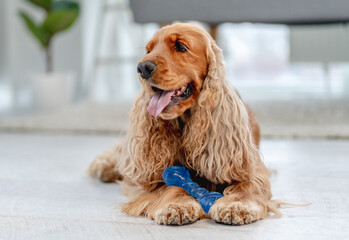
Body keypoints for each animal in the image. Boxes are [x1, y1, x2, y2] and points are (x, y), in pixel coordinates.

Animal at [89, 23, 280, 226]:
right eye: (149, 50)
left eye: (180, 46)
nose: (142, 67)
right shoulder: (157, 172)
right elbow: (170, 186)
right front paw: (178, 206)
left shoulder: (247, 165)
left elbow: (249, 185)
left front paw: (236, 206)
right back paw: (104, 166)